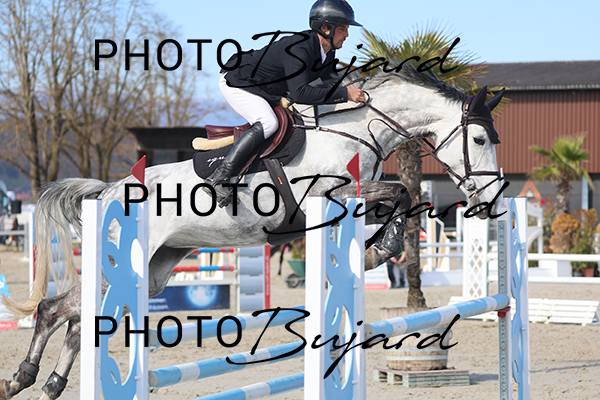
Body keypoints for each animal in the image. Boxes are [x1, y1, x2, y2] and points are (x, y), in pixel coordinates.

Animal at [0, 64, 505, 400]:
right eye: (479, 140)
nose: (492, 196)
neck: (356, 130)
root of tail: (107, 189)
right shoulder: (327, 196)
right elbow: (398, 190)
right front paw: (377, 251)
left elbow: (399, 196)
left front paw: (378, 250)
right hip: (118, 267)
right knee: (53, 311)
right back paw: (23, 378)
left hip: (153, 270)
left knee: (76, 321)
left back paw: (47, 384)